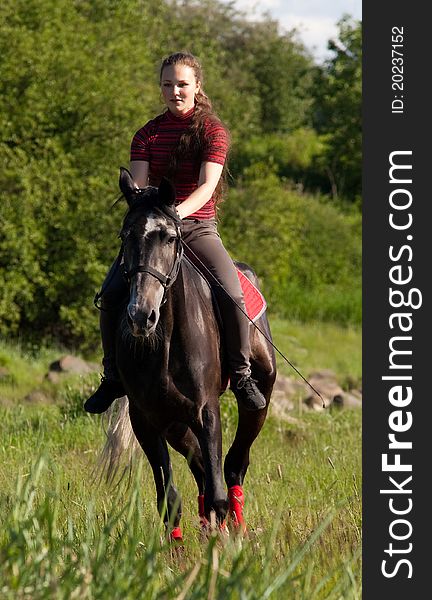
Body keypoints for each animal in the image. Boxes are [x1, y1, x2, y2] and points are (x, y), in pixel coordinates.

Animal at [102, 168, 274, 540]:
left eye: (169, 238)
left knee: (234, 465)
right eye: (125, 235)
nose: (141, 315)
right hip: (174, 422)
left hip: (260, 396)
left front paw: (221, 547)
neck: (165, 344)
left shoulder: (207, 412)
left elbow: (218, 493)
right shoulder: (146, 419)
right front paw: (176, 551)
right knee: (200, 467)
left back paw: (236, 527)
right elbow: (169, 500)